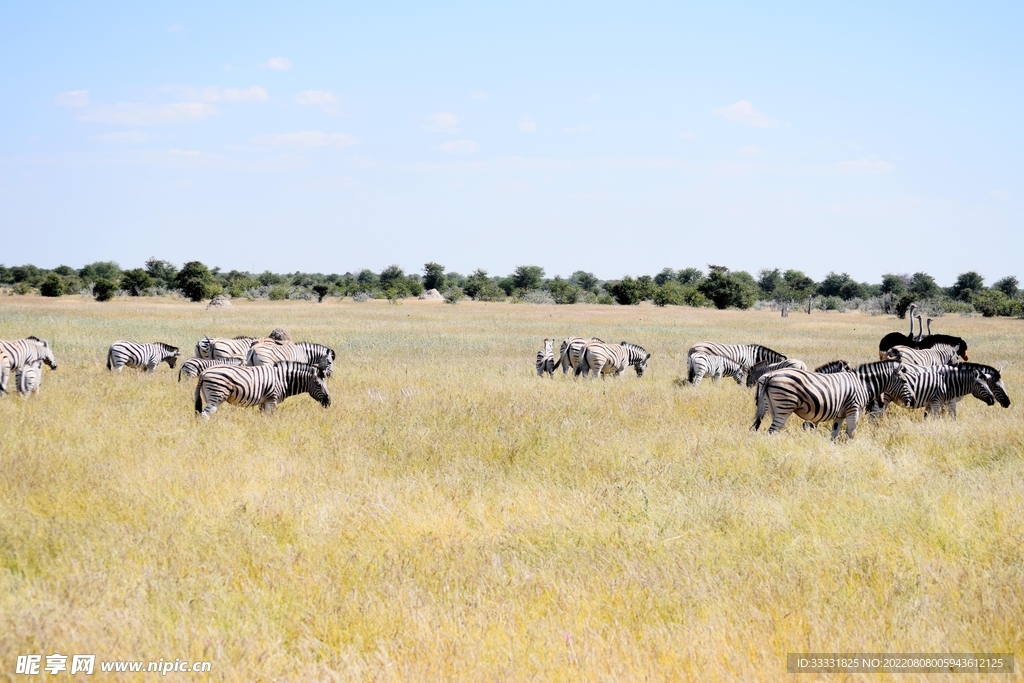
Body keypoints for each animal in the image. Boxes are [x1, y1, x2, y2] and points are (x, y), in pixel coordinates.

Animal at [194, 360, 331, 419]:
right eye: (318, 385)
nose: (329, 402)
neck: (283, 380)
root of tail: (204, 373)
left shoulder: (264, 401)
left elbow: (262, 417)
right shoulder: (272, 399)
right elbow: (268, 417)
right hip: (216, 395)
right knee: (205, 415)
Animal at [753, 366, 913, 440]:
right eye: (904, 381)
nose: (910, 400)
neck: (862, 384)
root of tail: (770, 375)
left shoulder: (840, 415)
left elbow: (834, 434)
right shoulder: (853, 409)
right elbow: (851, 432)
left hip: (774, 407)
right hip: (784, 406)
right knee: (771, 431)